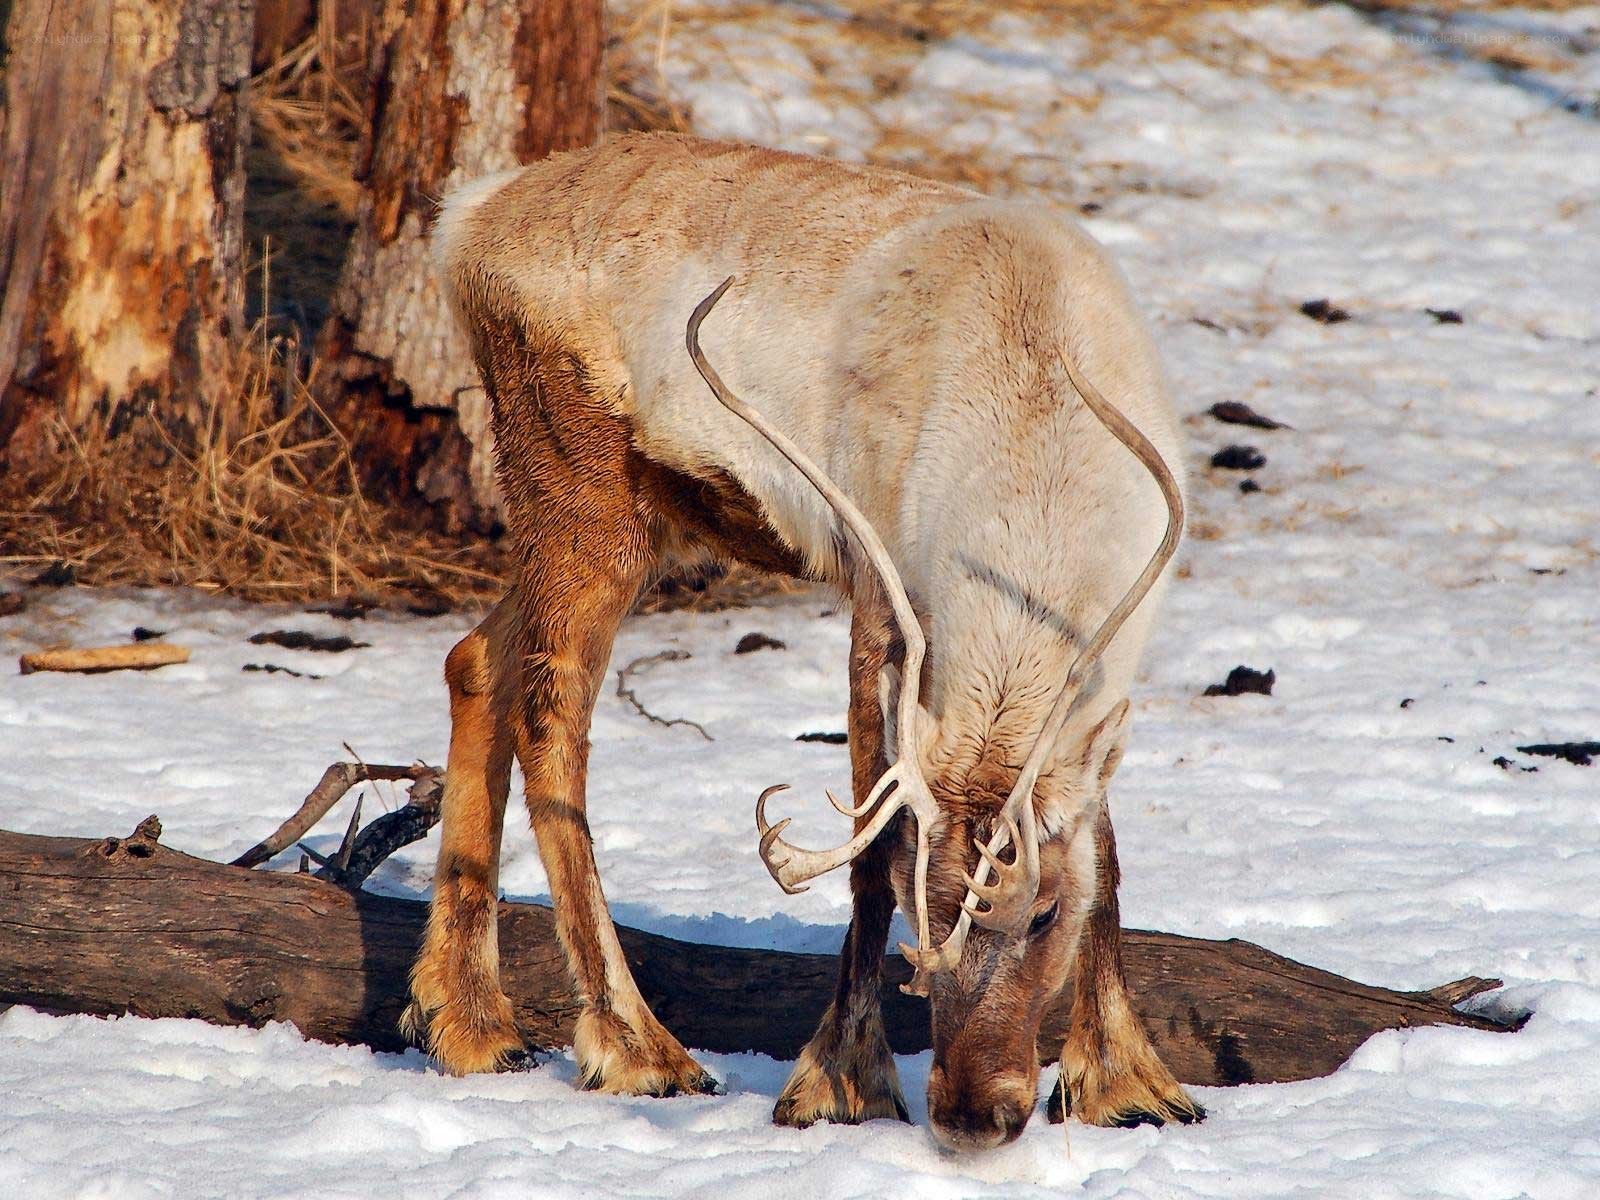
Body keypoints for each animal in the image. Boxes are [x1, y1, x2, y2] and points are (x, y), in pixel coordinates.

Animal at [401, 132, 1200, 1151]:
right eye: (926, 909)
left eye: (1043, 913)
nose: (970, 1111)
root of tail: (465, 220)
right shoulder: (880, 598)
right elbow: (865, 847)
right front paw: (842, 1082)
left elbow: (1106, 846)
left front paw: (1128, 1081)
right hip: (584, 489)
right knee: (551, 711)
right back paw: (637, 1047)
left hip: (640, 517)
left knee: (475, 658)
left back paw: (468, 1022)